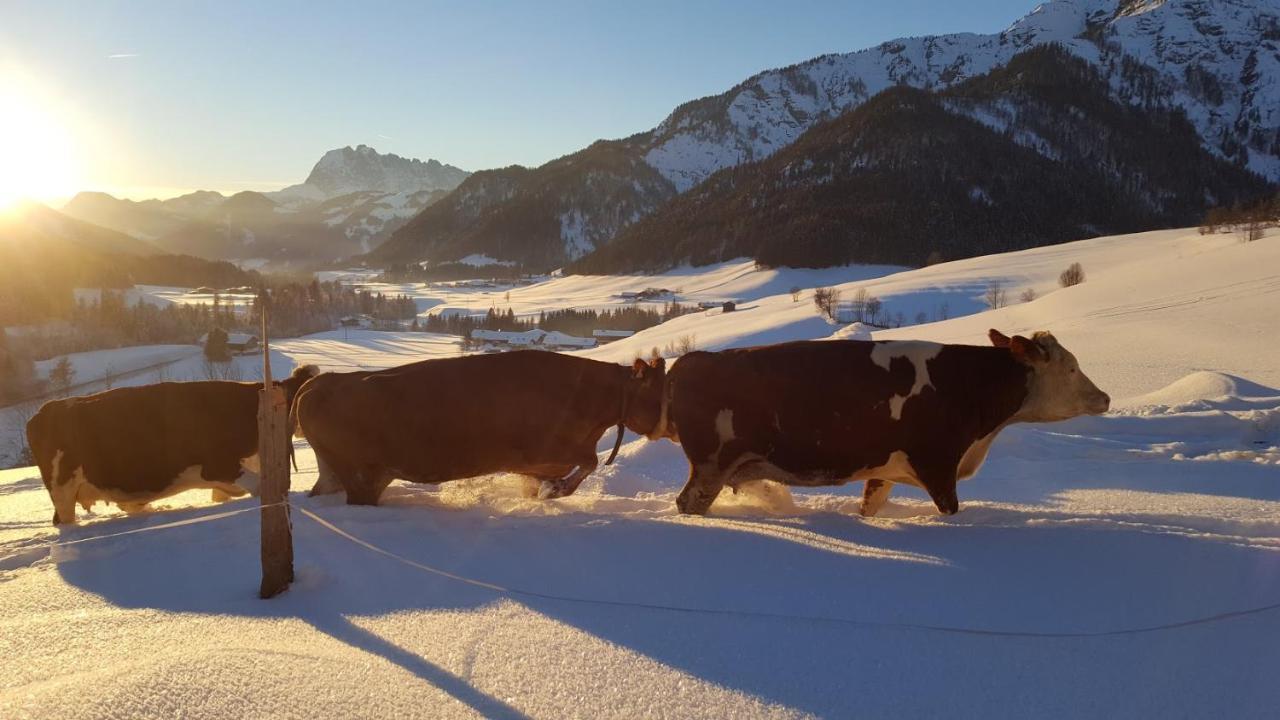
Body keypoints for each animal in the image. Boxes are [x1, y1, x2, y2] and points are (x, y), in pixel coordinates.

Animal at [293, 351, 665, 502]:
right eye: (658, 392)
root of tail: (317, 384)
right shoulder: (543, 449)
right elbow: (590, 461)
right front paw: (556, 491)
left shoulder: (542, 462)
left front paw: (547, 492)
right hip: (360, 473)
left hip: (338, 470)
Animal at [660, 330, 1111, 515]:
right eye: (1071, 368)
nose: (1104, 397)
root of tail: (690, 360)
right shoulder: (938, 463)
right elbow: (950, 511)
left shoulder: (886, 470)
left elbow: (870, 507)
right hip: (710, 465)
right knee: (688, 503)